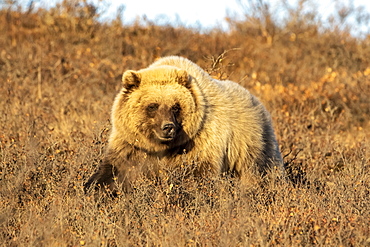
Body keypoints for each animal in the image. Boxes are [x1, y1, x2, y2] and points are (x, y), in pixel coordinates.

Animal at [84, 55, 284, 193]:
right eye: (152, 106)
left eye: (175, 107)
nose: (168, 127)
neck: (161, 147)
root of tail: (258, 102)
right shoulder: (132, 146)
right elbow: (114, 172)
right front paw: (94, 190)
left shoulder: (199, 144)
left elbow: (198, 177)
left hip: (251, 144)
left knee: (260, 171)